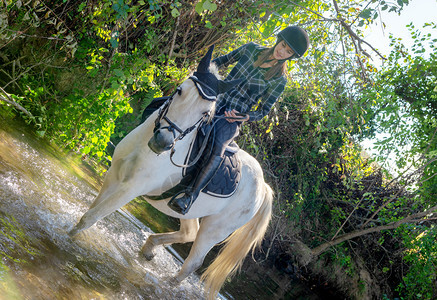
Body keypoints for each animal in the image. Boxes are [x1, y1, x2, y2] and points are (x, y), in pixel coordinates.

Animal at [69, 45, 272, 298]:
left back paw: (163, 283)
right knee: (189, 233)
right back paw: (149, 248)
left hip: (216, 229)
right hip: (188, 210)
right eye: (178, 91)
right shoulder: (113, 176)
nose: (163, 142)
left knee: (194, 261)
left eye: (206, 112)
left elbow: (92, 217)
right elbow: (89, 212)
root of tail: (263, 185)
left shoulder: (129, 189)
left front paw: (69, 238)